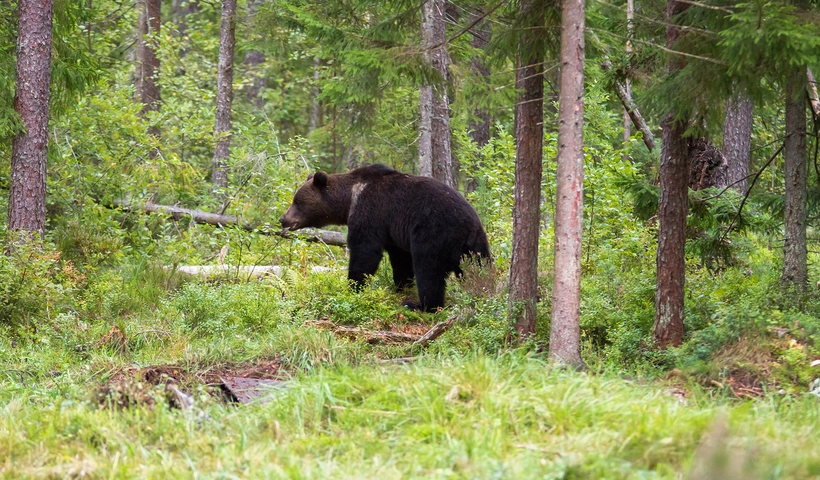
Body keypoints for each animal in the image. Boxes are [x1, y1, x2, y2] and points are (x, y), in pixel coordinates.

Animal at [278, 163, 490, 312]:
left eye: (298, 201)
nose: (283, 219)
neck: (349, 200)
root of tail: (468, 225)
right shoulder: (394, 232)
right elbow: (400, 259)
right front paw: (400, 285)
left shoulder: (371, 212)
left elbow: (365, 252)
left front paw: (353, 285)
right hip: (476, 245)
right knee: (480, 267)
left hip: (434, 233)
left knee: (429, 269)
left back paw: (419, 305)